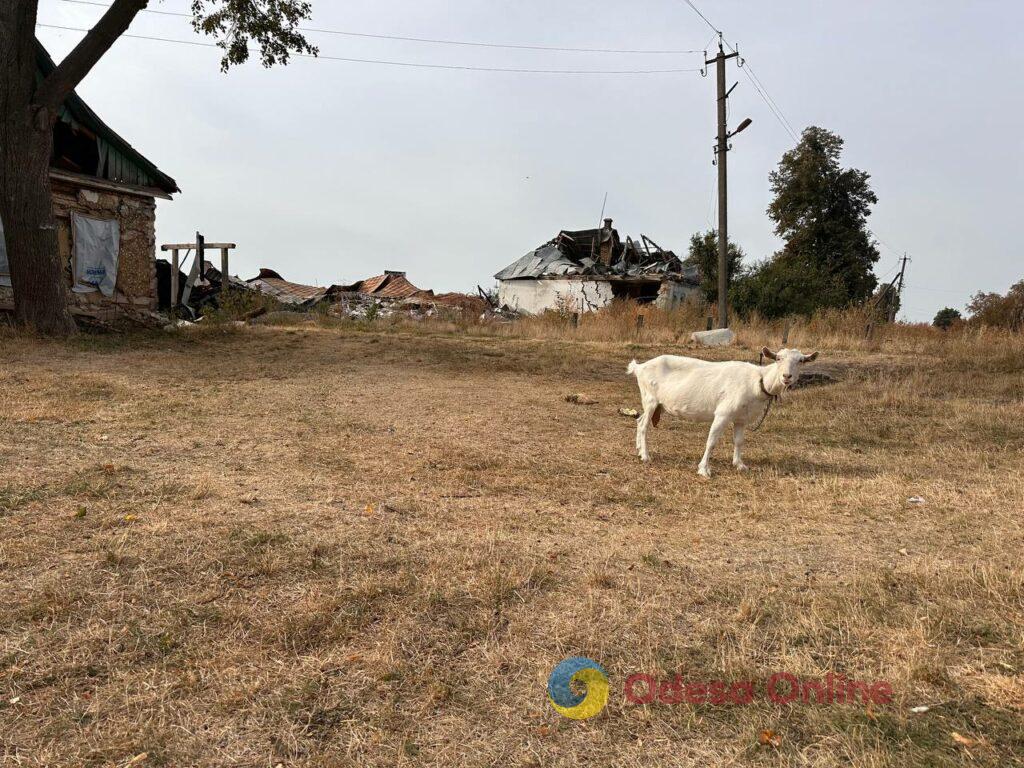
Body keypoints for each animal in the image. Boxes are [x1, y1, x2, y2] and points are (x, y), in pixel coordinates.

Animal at [626, 348, 819, 475]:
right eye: (778, 358)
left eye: (801, 361)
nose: (787, 377)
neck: (758, 381)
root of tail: (639, 367)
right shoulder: (723, 414)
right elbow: (711, 442)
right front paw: (704, 469)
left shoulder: (741, 419)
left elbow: (739, 441)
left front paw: (740, 465)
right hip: (650, 399)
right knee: (643, 425)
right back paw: (646, 456)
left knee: (639, 420)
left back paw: (639, 450)